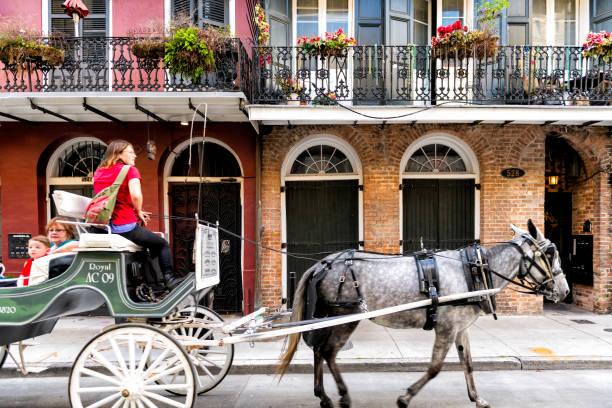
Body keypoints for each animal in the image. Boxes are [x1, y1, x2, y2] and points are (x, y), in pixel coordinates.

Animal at [280, 222, 572, 406]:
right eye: (550, 253)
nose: (566, 290)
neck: (474, 270)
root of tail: (324, 263)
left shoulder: (460, 328)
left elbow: (468, 363)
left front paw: (476, 398)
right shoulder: (446, 327)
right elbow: (434, 368)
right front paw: (405, 397)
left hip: (330, 316)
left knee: (319, 351)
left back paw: (323, 395)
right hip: (346, 316)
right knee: (329, 352)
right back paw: (342, 395)